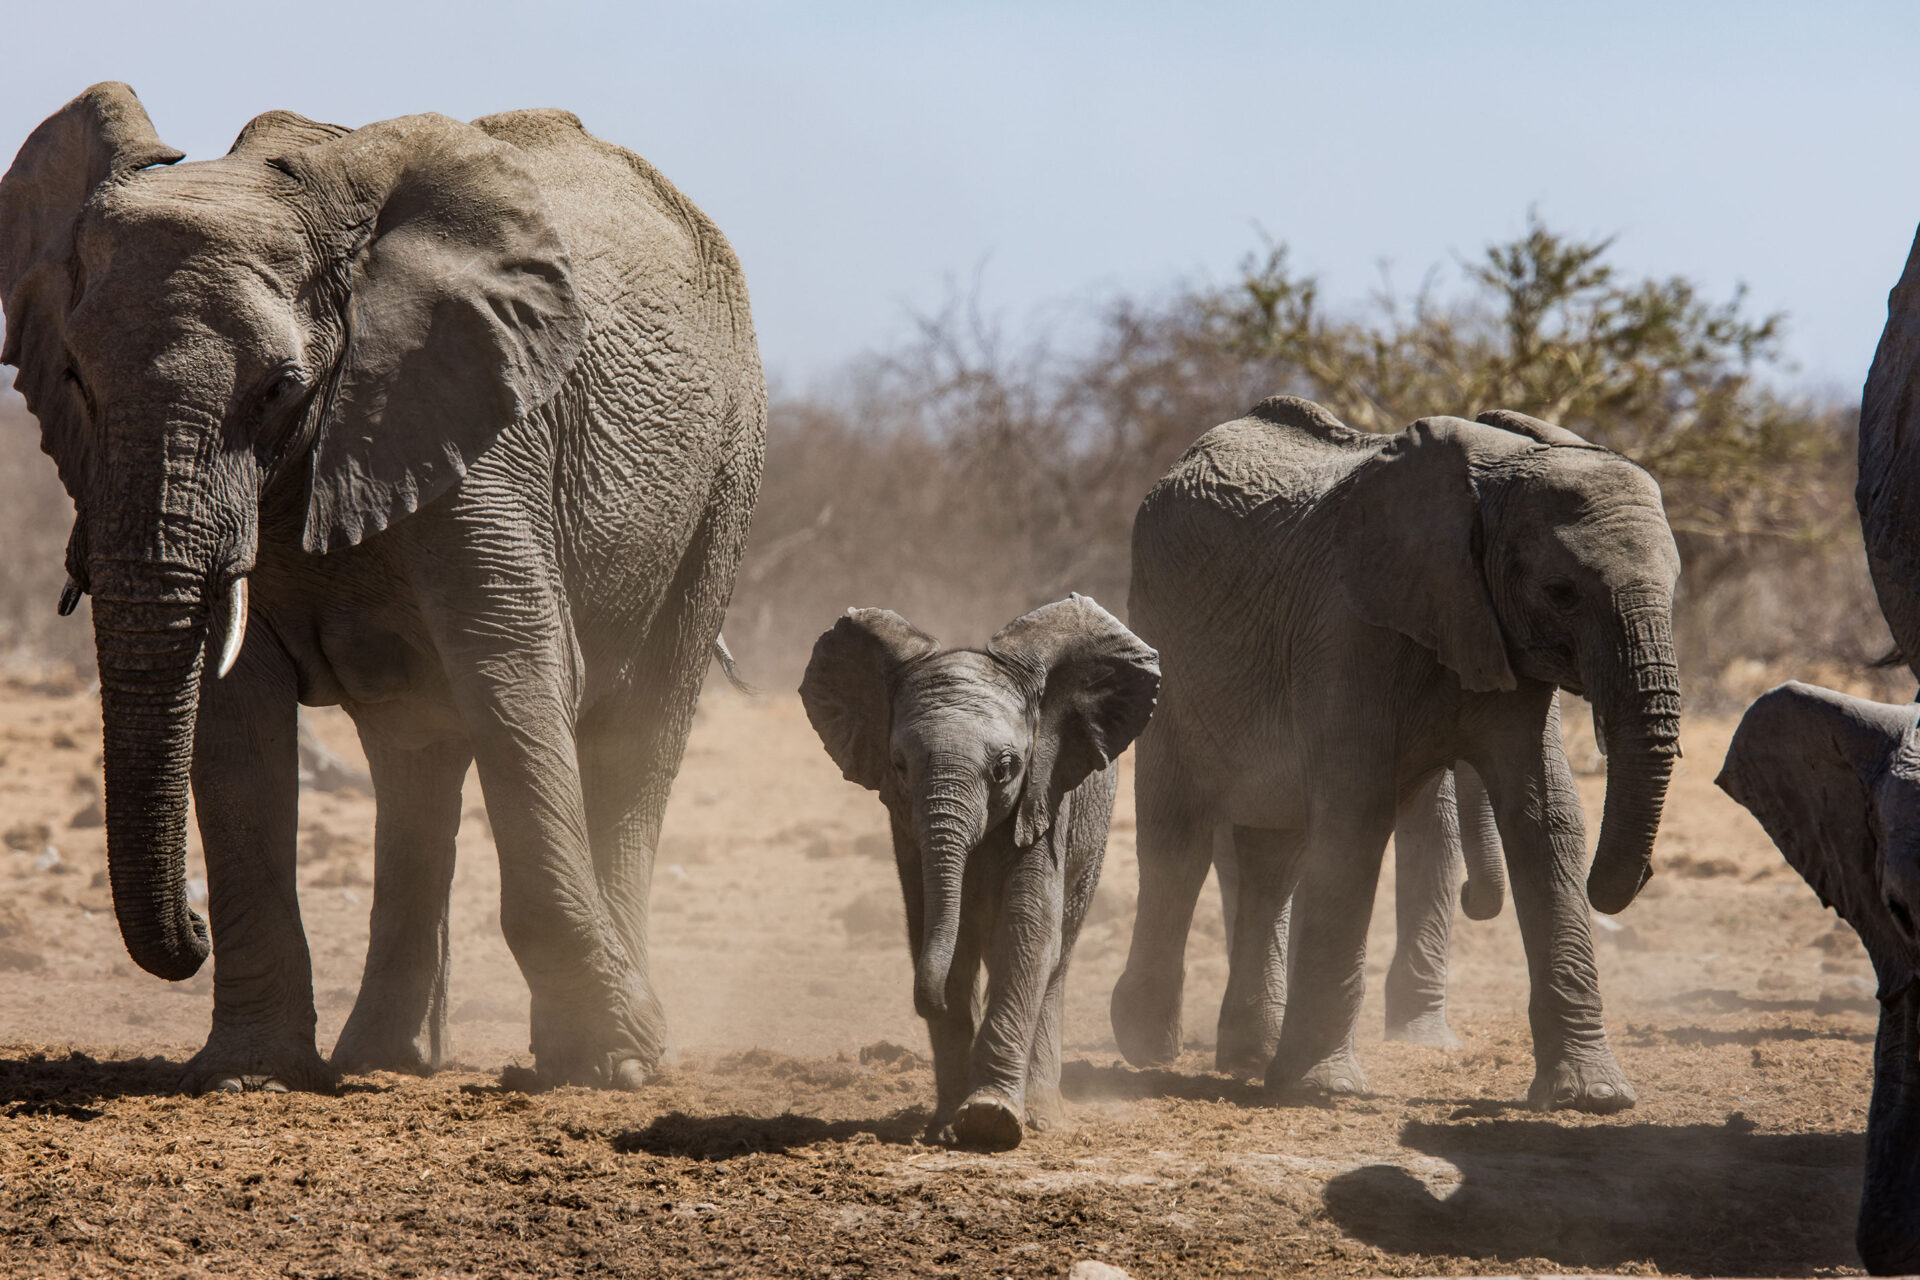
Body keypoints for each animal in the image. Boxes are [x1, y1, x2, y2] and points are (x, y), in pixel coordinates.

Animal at [0, 84, 765, 1091]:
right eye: (76, 380)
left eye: (280, 389)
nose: (190, 928)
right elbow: (233, 721)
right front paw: (249, 1073)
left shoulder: (481, 430)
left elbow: (515, 669)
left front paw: (614, 1066)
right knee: (419, 757)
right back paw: (390, 1060)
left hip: (728, 465)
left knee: (637, 738)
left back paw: (611, 1047)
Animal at [799, 595, 1160, 1150]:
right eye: (899, 765)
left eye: (1006, 768)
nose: (925, 1005)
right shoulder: (905, 827)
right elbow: (937, 931)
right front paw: (948, 1126)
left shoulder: (1047, 802)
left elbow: (1025, 932)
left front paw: (992, 1120)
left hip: (1094, 841)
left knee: (1058, 956)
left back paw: (1043, 1116)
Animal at [1111, 396, 1680, 1113]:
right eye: (1561, 591)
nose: (1623, 886)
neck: (1492, 484)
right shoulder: (1351, 629)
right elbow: (1356, 817)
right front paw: (1323, 1090)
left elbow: (1545, 819)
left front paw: (1594, 1097)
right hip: (1168, 645)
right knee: (1178, 837)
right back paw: (1146, 1046)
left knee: (1275, 854)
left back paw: (1250, 1057)